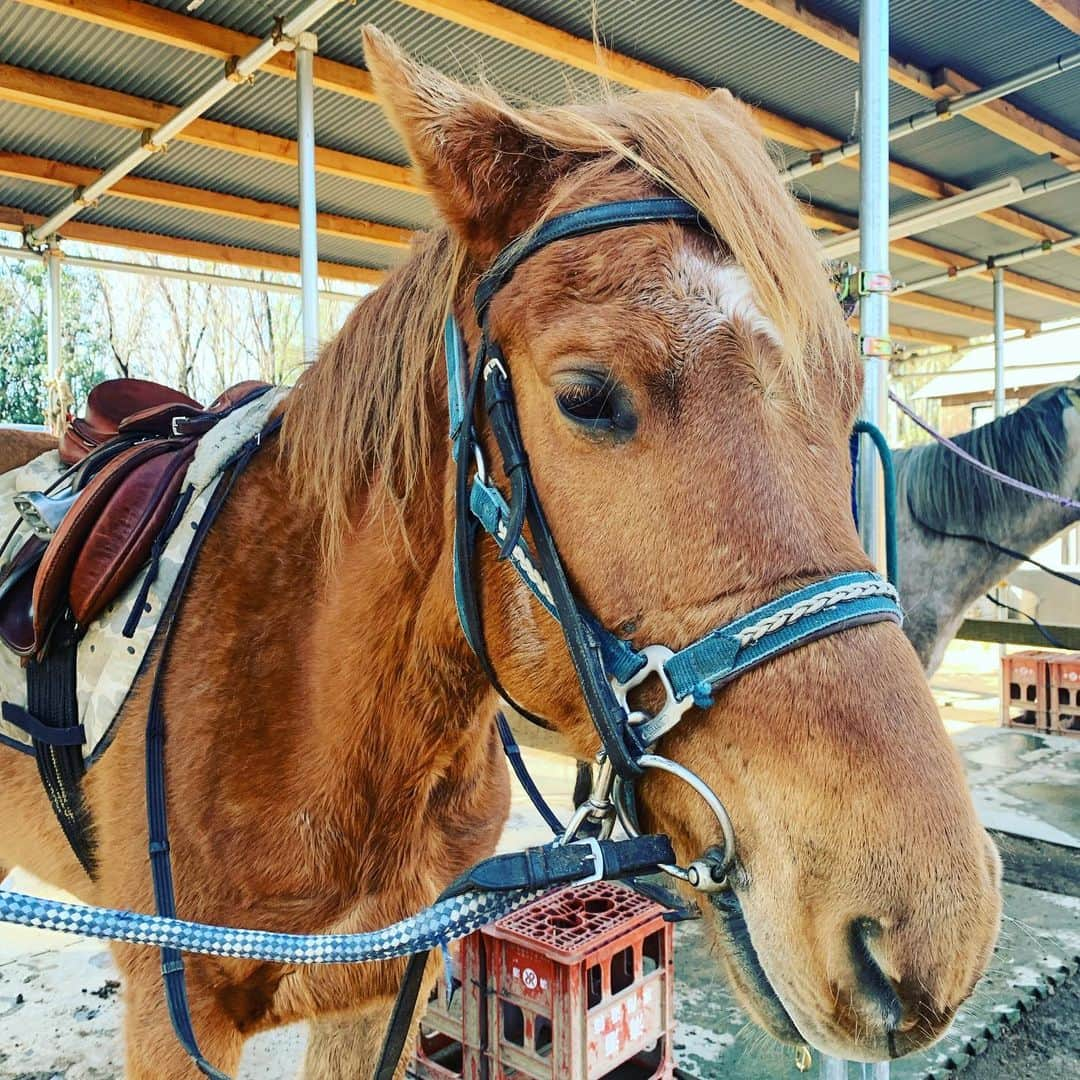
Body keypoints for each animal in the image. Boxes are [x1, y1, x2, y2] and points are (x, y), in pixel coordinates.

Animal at [0, 27, 997, 1080]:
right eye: (586, 396)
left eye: (847, 391)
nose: (934, 928)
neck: (313, 700)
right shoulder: (171, 1017)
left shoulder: (375, 996)